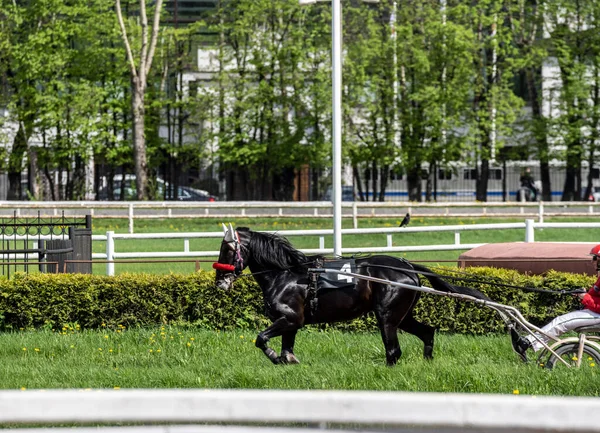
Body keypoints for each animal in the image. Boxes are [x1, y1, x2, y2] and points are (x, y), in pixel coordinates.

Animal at [213, 224, 490, 366]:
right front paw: (286, 360)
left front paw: (273, 356)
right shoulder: (291, 321)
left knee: (393, 350)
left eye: (228, 249)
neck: (286, 275)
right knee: (427, 332)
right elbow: (287, 348)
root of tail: (407, 266)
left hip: (387, 316)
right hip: (403, 316)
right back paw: (427, 363)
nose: (220, 282)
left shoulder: (290, 318)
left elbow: (261, 339)